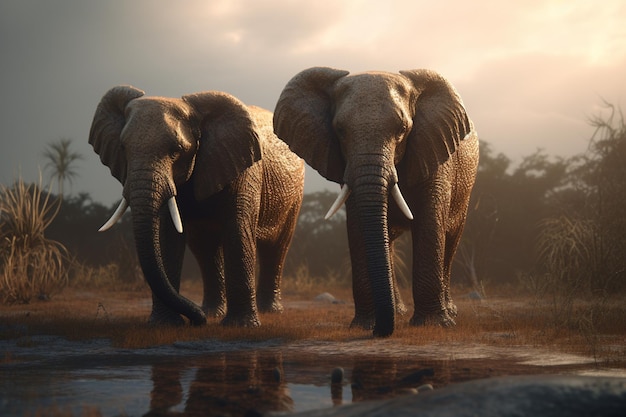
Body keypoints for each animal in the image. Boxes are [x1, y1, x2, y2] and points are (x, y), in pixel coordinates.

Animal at [87, 85, 302, 324]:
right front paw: (165, 324)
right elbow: (167, 236)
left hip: (294, 197)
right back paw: (212, 311)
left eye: (176, 151)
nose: (196, 320)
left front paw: (241, 326)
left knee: (277, 247)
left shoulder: (245, 169)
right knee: (205, 248)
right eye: (124, 148)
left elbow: (237, 229)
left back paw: (268, 311)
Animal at [272, 66, 478, 336]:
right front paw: (364, 325)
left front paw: (434, 324)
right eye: (340, 130)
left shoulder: (435, 152)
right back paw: (398, 311)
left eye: (402, 129)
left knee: (451, 238)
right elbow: (360, 225)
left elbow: (430, 224)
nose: (381, 331)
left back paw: (449, 312)